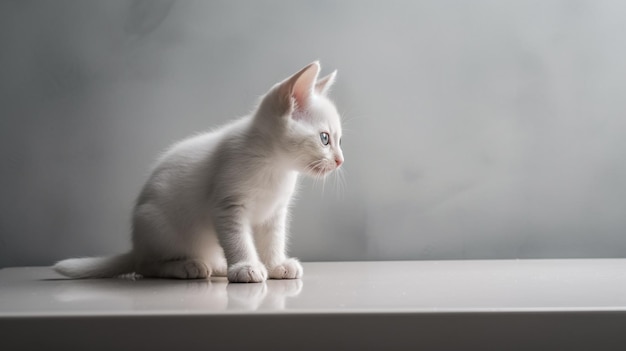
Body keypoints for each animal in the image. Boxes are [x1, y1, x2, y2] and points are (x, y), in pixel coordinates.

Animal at [53, 62, 344, 284]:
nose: (340, 160)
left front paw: (275, 265)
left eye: (340, 140)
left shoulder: (274, 213)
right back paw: (187, 266)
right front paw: (246, 267)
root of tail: (136, 245)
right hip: (157, 223)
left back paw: (217, 264)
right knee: (146, 266)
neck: (275, 166)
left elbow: (273, 240)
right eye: (325, 139)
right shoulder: (227, 205)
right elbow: (238, 239)